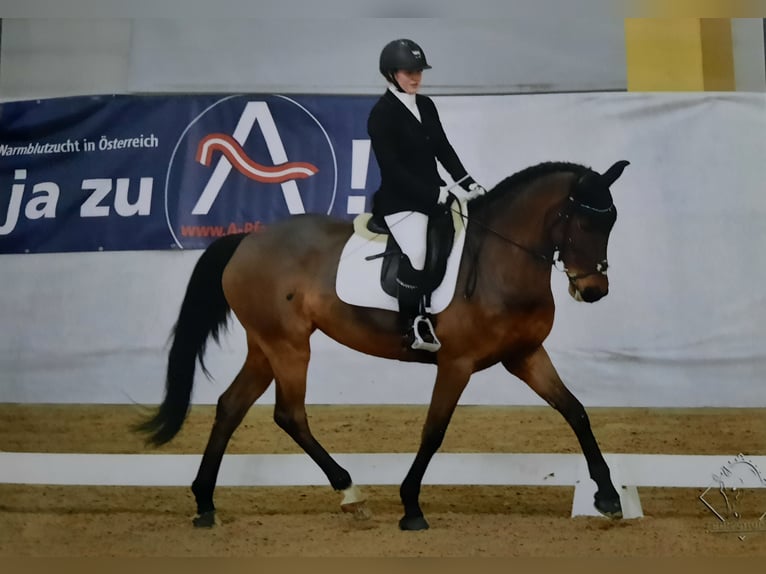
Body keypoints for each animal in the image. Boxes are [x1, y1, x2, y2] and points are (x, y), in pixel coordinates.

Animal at [136, 158, 632, 532]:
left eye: (610, 221)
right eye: (584, 220)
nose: (594, 291)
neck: (500, 260)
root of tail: (247, 241)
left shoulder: (525, 356)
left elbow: (576, 412)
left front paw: (609, 497)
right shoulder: (457, 363)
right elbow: (434, 431)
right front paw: (411, 507)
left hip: (265, 347)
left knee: (230, 406)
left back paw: (205, 504)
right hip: (288, 346)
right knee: (289, 414)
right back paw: (350, 493)